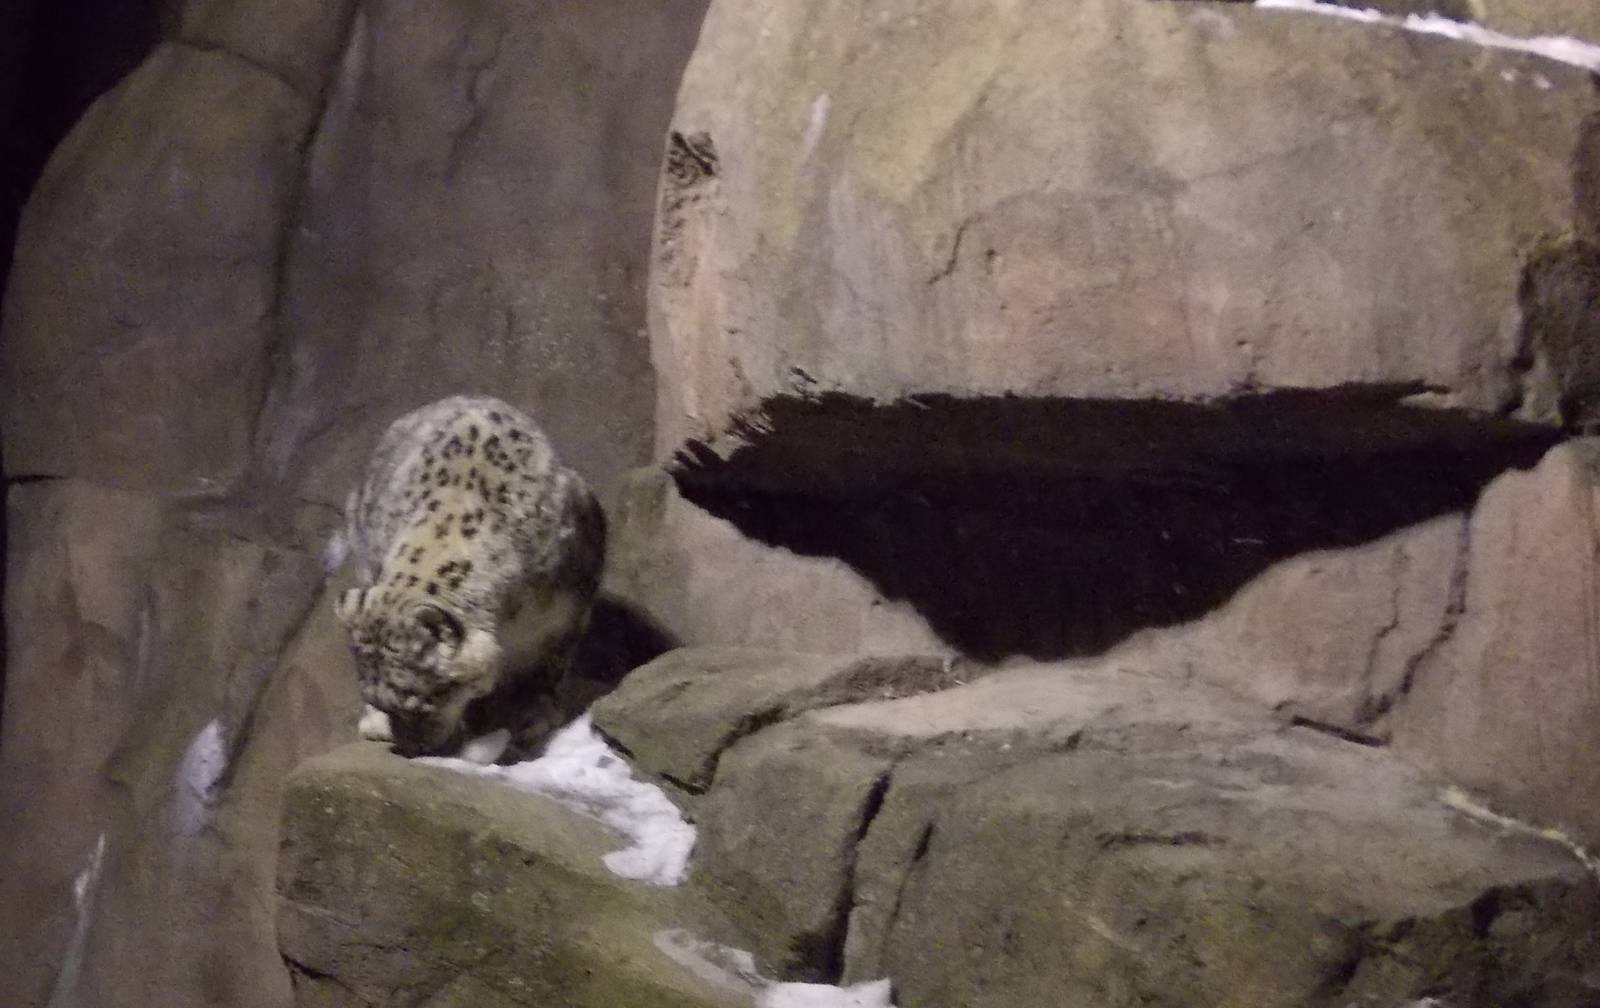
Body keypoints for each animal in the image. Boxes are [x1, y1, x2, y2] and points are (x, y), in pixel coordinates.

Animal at [334, 395, 605, 759]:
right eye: (379, 700)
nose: (412, 747)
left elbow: (549, 667)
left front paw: (531, 716)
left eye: (420, 702)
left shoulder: (568, 612)